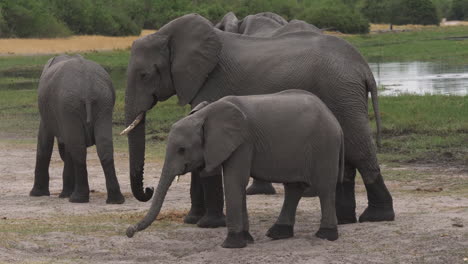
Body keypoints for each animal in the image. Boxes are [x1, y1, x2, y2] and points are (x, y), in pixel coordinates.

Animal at [29, 54, 124, 204]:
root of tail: (87, 88)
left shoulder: (52, 114)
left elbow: (44, 141)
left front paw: (37, 194)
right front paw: (64, 194)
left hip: (70, 104)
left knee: (77, 148)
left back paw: (77, 199)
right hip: (103, 103)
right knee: (103, 146)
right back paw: (115, 200)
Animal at [122, 13, 394, 228]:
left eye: (145, 75)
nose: (147, 190)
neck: (168, 35)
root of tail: (363, 67)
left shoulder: (213, 82)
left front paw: (208, 224)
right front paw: (193, 220)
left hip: (341, 92)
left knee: (359, 149)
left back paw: (377, 216)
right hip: (343, 95)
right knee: (346, 153)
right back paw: (345, 219)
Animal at [126, 91, 346, 248]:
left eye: (182, 150)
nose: (129, 231)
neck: (206, 114)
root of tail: (333, 117)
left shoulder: (243, 142)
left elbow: (234, 181)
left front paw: (231, 244)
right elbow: (237, 185)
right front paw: (245, 239)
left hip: (325, 145)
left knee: (325, 188)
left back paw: (326, 236)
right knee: (293, 188)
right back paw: (278, 233)